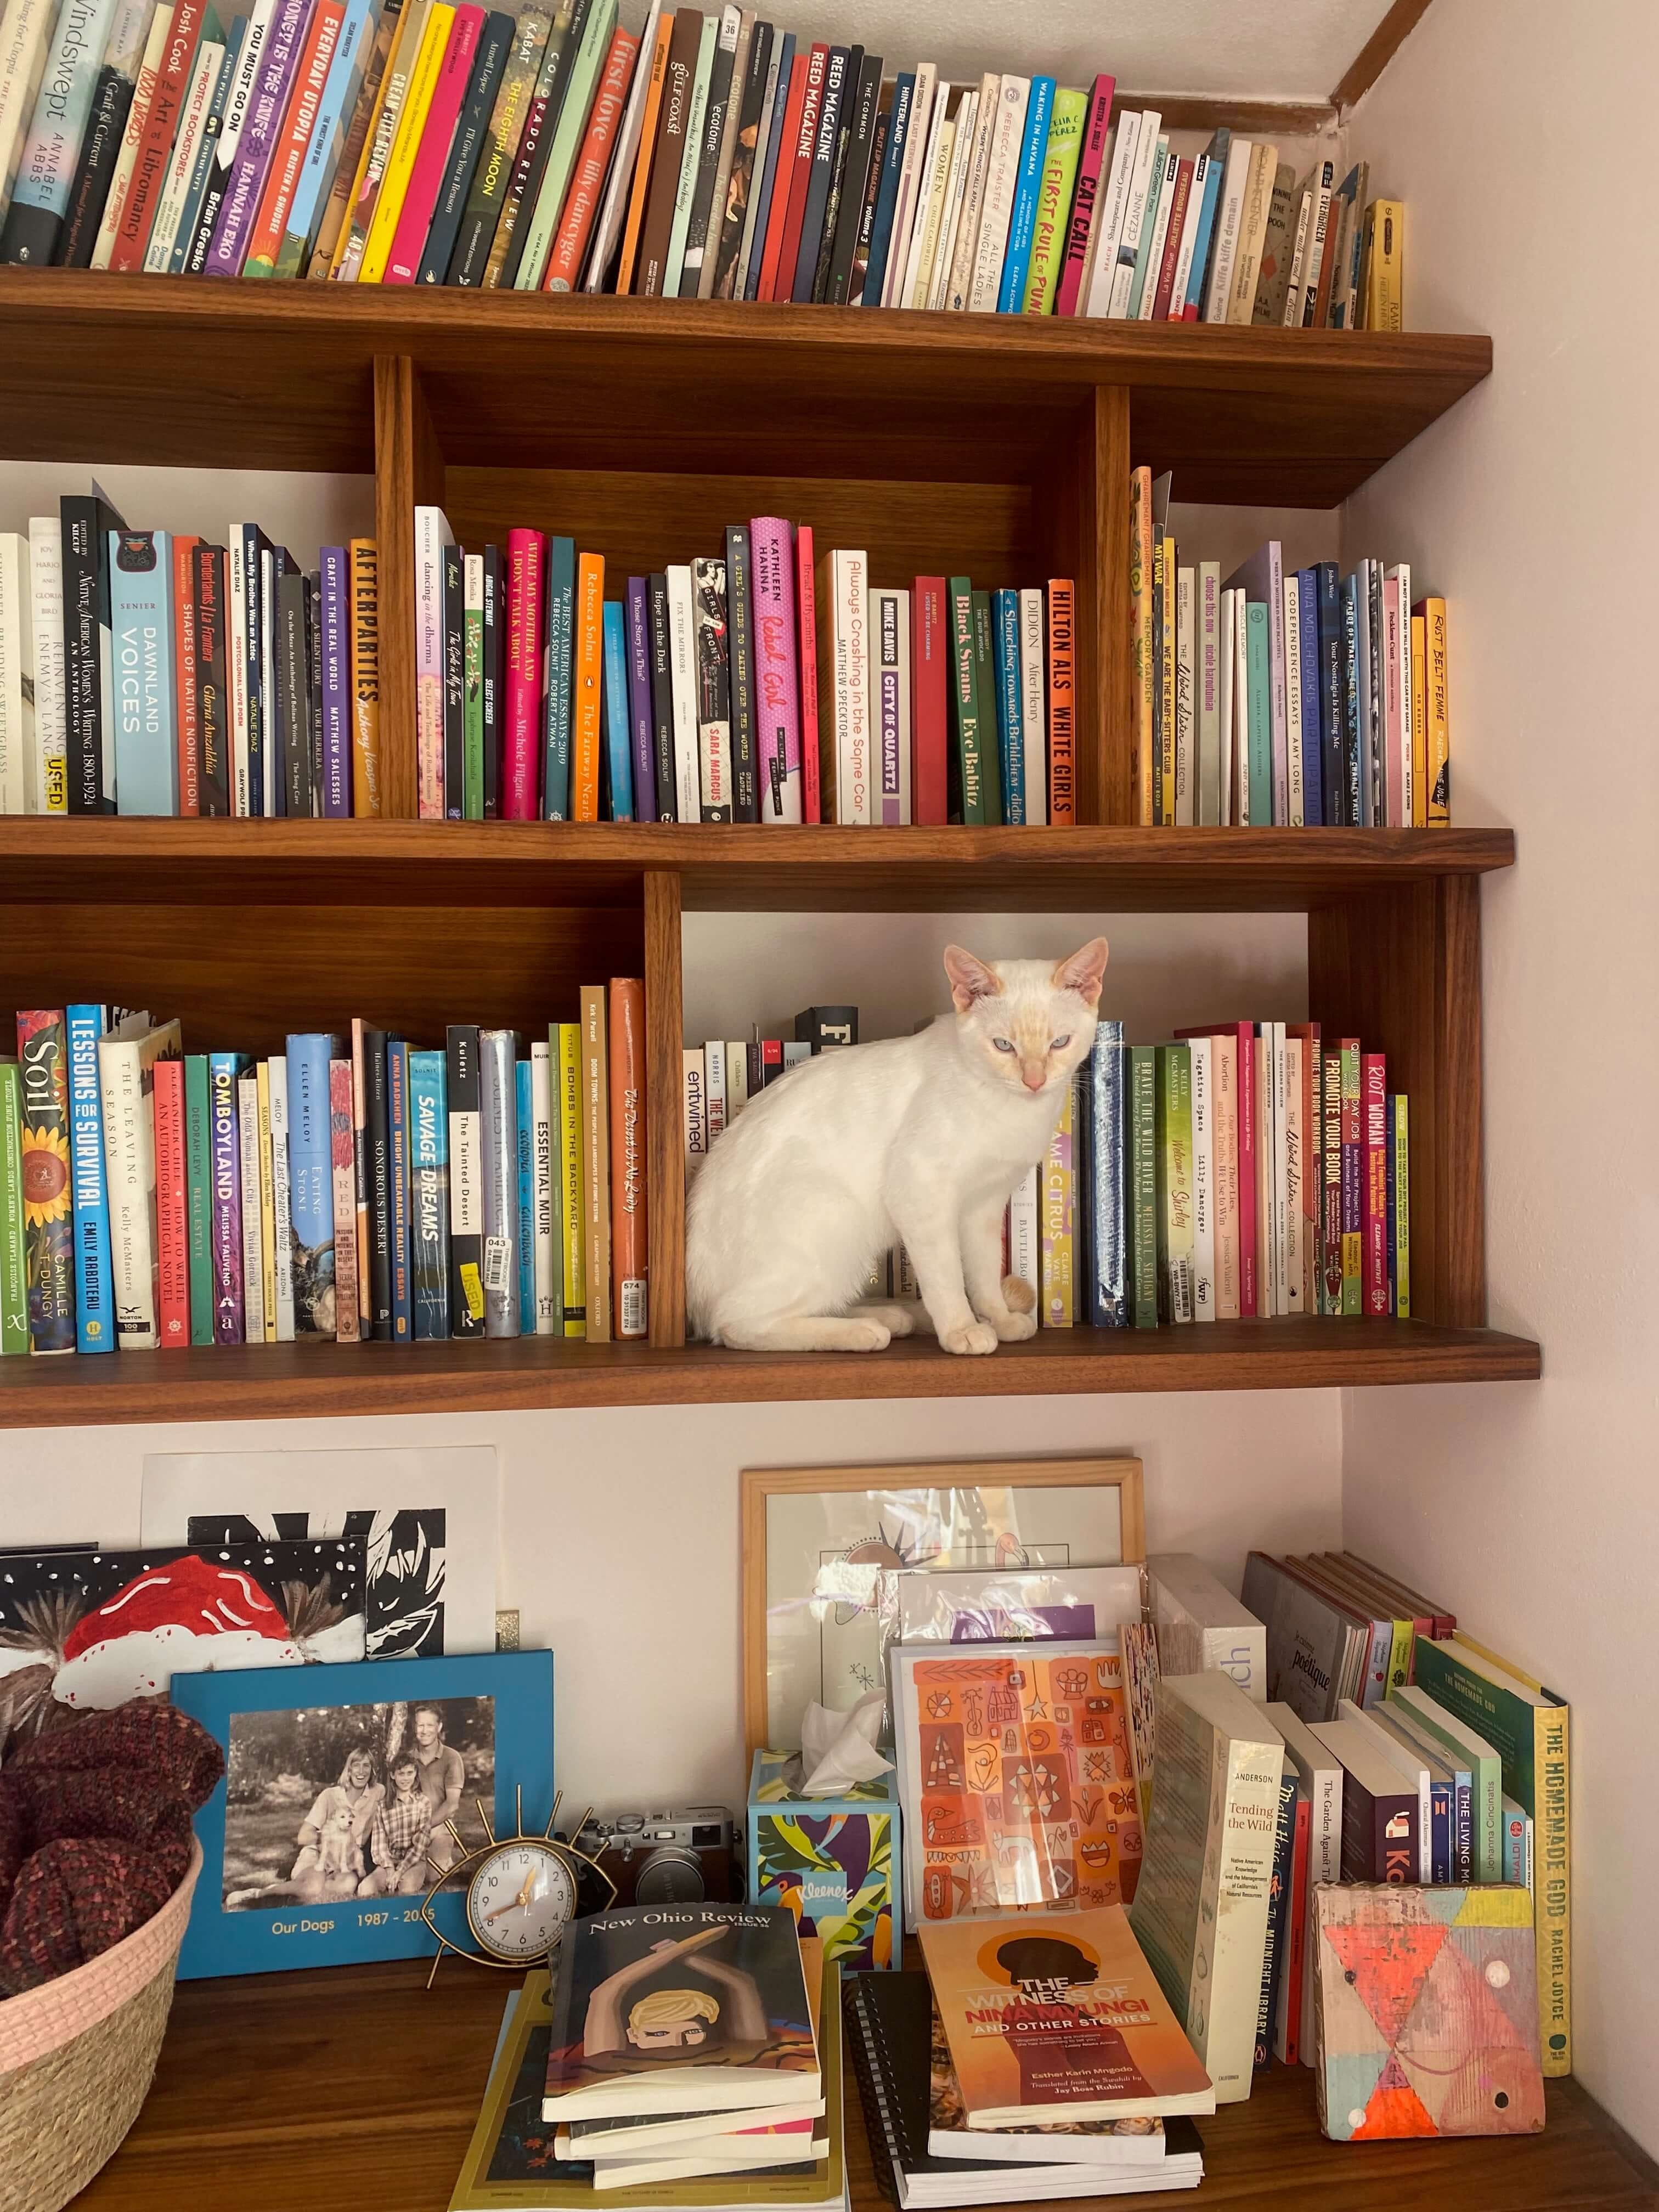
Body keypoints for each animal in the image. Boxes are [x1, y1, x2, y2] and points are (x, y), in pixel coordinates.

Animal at [686, 938, 1108, 1354]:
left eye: (1060, 1043)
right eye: (1003, 1046)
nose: (1034, 1082)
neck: (1012, 1110)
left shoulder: (984, 1205)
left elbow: (985, 1274)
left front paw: (999, 1320)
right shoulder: (921, 1192)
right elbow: (947, 1279)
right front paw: (961, 1330)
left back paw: (893, 1315)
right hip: (835, 1217)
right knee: (737, 1324)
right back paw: (865, 1332)